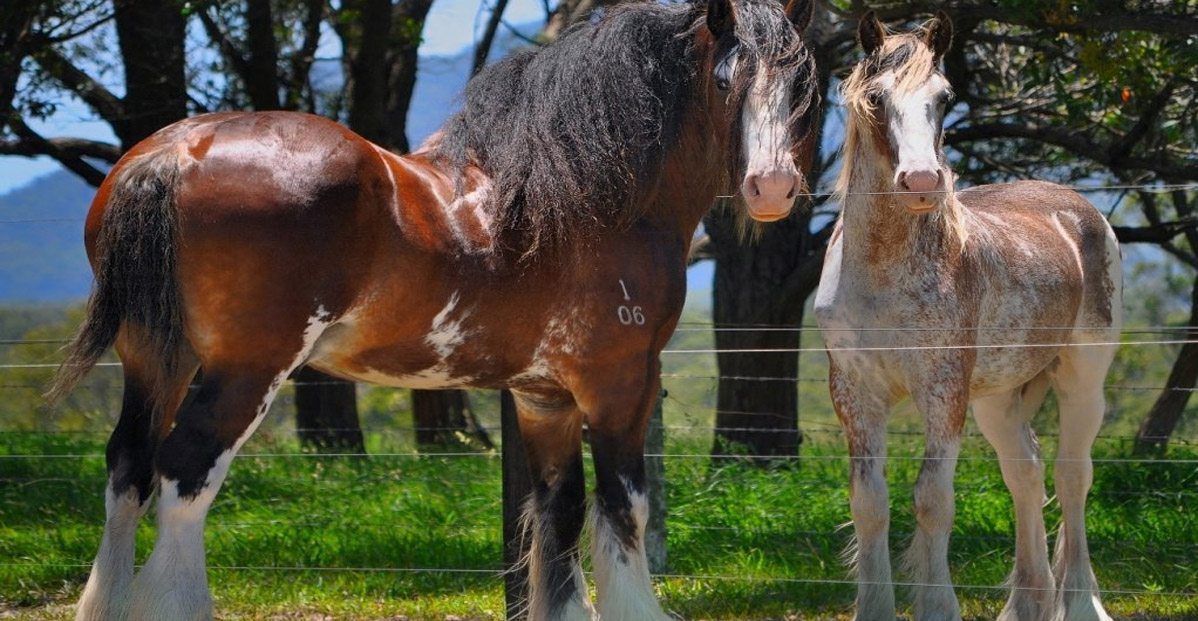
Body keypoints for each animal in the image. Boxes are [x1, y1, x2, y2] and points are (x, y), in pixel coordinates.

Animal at [53, 1, 824, 621]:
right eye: (724, 81)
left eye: (801, 84)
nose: (772, 187)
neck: (595, 201)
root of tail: (177, 152)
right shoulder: (619, 384)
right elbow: (623, 507)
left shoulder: (543, 396)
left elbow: (559, 510)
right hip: (245, 370)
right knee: (185, 475)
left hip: (157, 359)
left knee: (129, 469)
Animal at [814, 10, 1121, 621]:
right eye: (876, 97)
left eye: (945, 96)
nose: (921, 182)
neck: (883, 274)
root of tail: (1083, 211)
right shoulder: (856, 392)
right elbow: (869, 503)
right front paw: (875, 608)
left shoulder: (942, 389)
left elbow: (932, 500)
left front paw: (938, 606)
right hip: (998, 400)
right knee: (1025, 473)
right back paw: (1027, 603)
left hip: (1082, 377)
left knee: (1073, 475)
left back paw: (1080, 601)